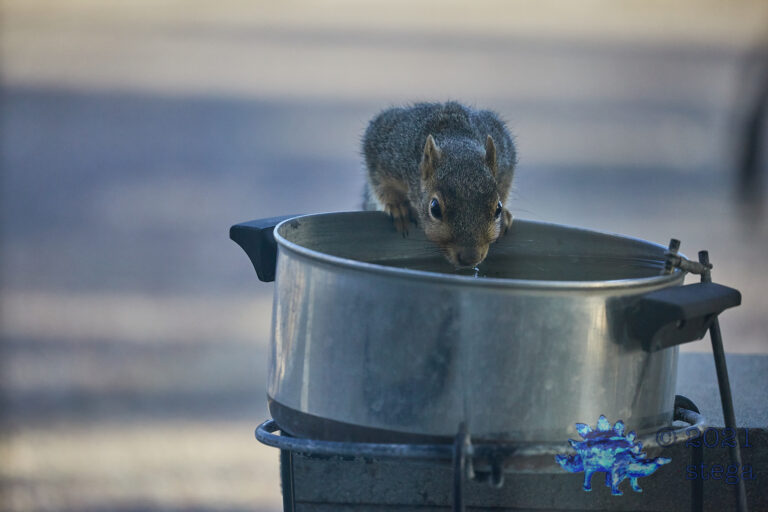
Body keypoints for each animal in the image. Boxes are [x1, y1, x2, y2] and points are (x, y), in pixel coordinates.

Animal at [362, 102, 516, 268]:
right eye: (434, 208)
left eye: (498, 208)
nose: (470, 258)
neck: (455, 135)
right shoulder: (389, 147)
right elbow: (380, 182)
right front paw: (399, 207)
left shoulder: (505, 154)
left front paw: (505, 216)